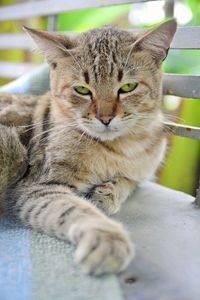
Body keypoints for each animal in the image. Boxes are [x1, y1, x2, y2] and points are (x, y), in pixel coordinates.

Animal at [0, 19, 177, 276]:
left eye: (128, 87)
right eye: (82, 90)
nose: (105, 118)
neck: (120, 148)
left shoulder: (142, 171)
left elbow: (129, 181)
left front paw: (108, 192)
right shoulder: (37, 186)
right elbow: (74, 208)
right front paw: (106, 236)